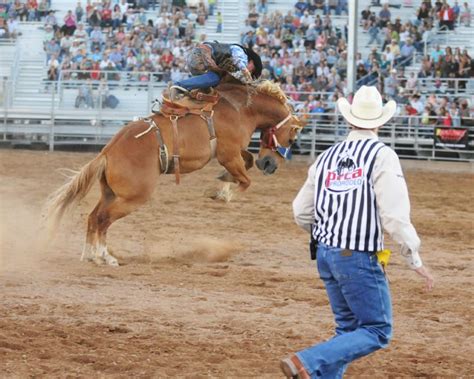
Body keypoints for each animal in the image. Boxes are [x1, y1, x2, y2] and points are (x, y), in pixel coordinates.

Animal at [44, 78, 304, 266]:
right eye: (292, 138)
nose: (270, 165)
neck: (241, 109)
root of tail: (107, 152)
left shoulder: (234, 153)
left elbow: (247, 163)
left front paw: (222, 182)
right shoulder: (228, 153)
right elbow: (246, 179)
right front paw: (219, 193)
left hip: (111, 193)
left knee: (93, 217)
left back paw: (89, 255)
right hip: (133, 198)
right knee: (102, 219)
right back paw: (104, 257)